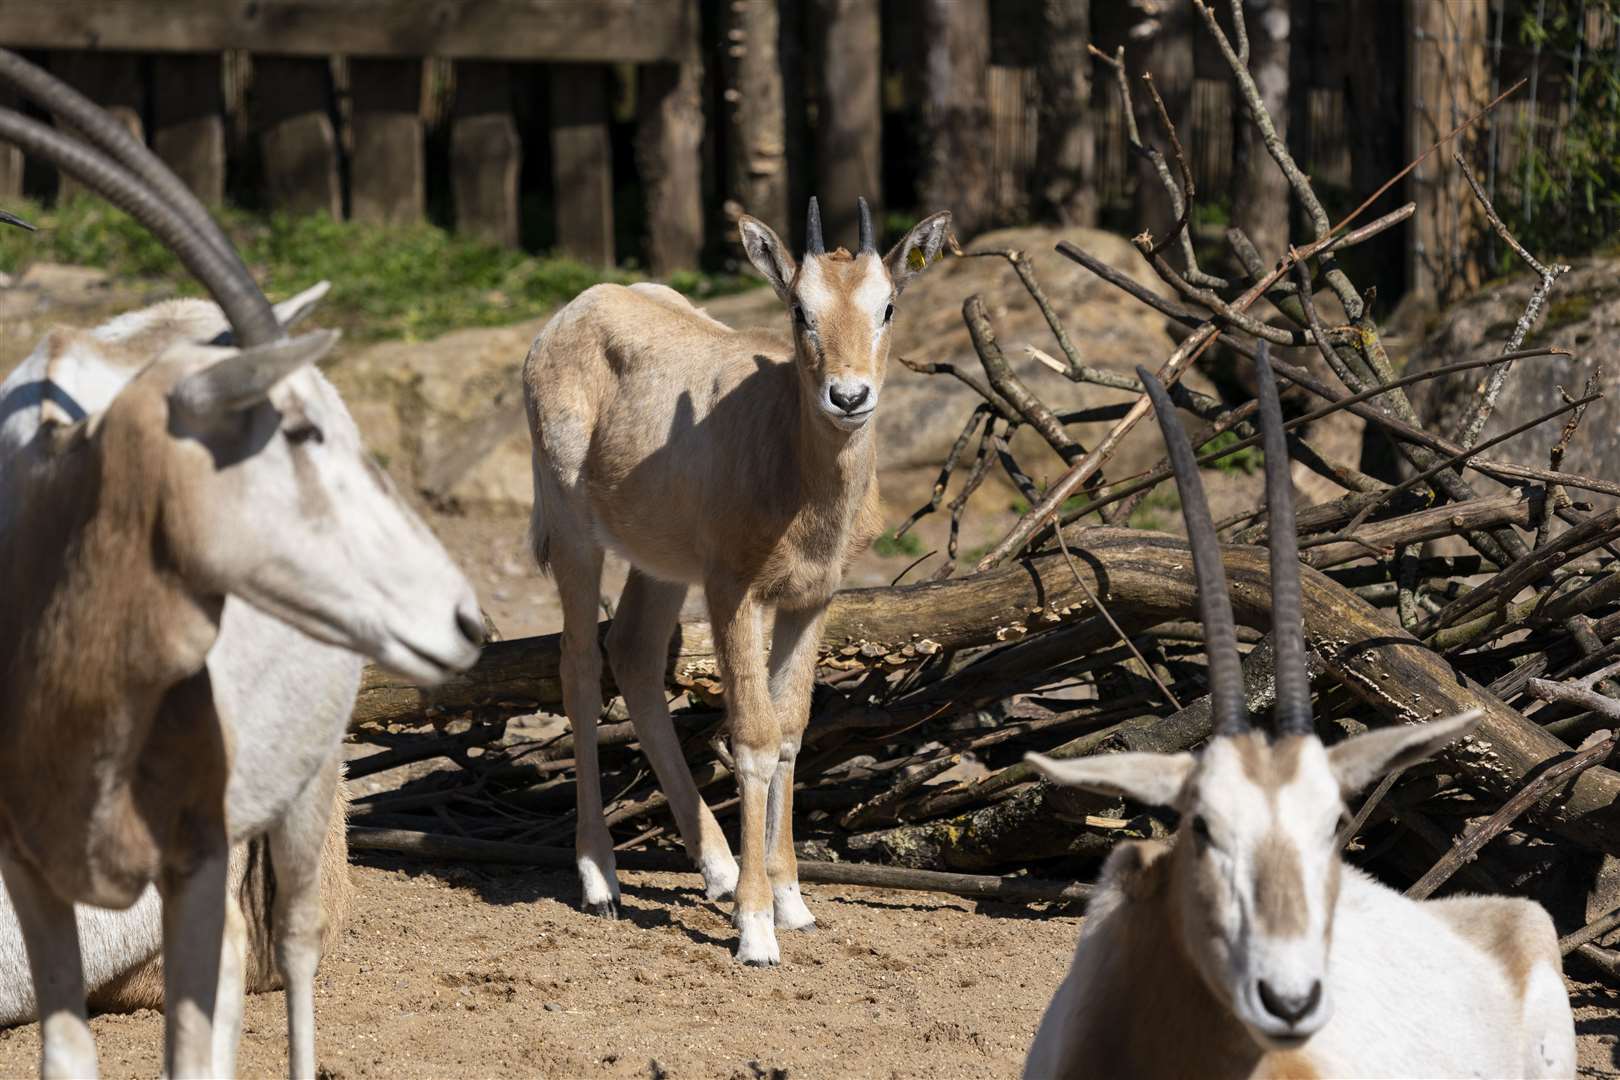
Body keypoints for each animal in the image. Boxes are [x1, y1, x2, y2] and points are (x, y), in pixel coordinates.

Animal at [518, 194, 946, 965]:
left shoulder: (812, 599)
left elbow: (790, 730)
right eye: (800, 308)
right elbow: (751, 737)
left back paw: (715, 866)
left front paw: (791, 899)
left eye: (888, 305)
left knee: (632, 649)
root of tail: (571, 313)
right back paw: (600, 877)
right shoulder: (733, 592)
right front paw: (756, 929)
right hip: (572, 528)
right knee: (578, 665)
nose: (848, 396)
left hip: (661, 563)